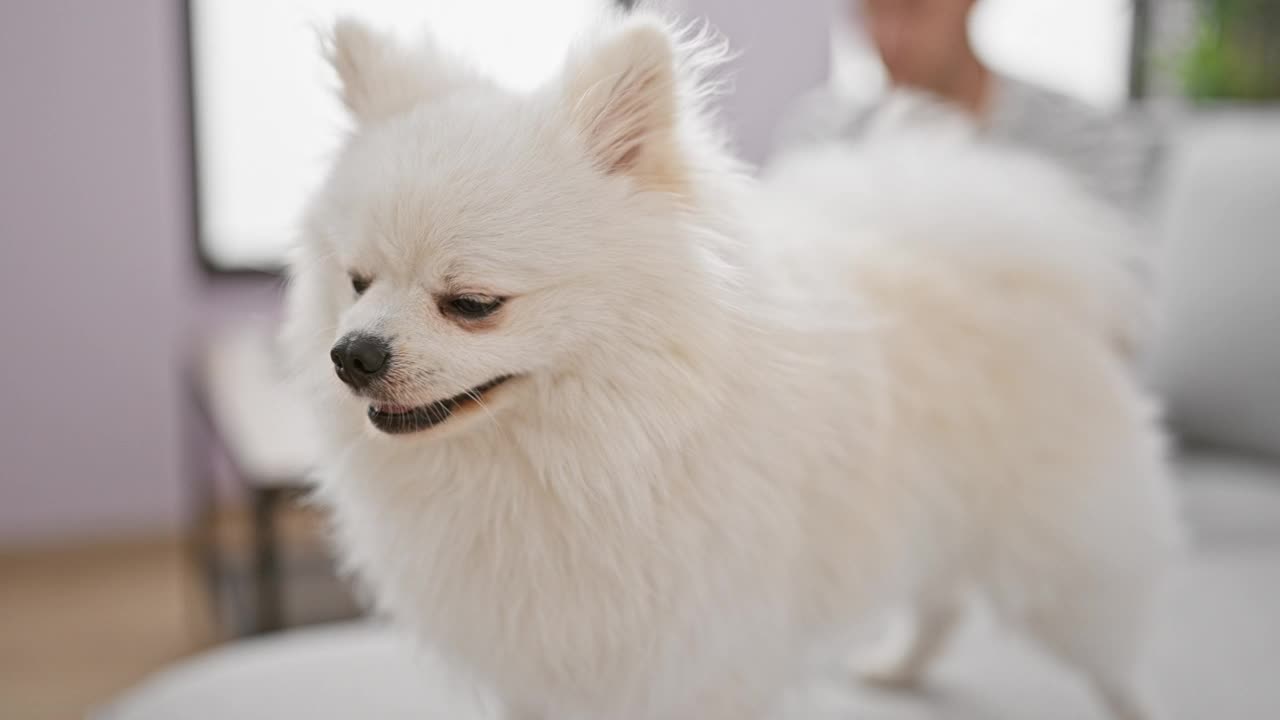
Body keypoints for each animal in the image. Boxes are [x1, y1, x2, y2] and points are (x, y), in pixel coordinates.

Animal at [280, 9, 1177, 717]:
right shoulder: (546, 656)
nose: (352, 353)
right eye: (356, 281)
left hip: (1061, 560)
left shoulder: (701, 652)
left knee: (1111, 651)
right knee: (944, 601)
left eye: (471, 303)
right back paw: (896, 667)